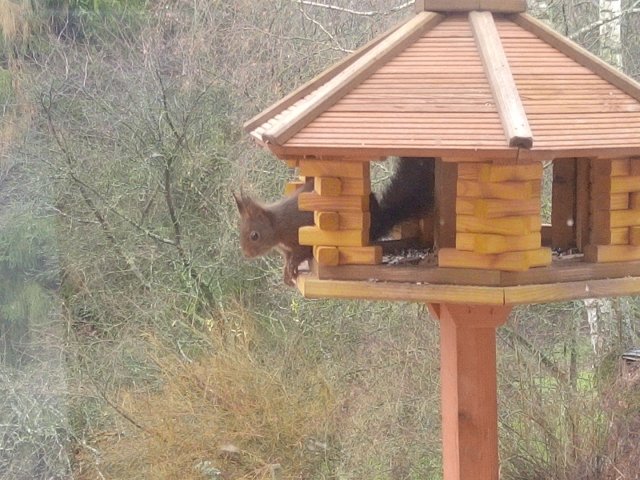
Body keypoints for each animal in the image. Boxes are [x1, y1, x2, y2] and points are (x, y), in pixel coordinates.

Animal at [234, 157, 434, 286]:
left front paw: (291, 267)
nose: (246, 254)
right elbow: (289, 257)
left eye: (254, 235)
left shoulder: (297, 231)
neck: (277, 226)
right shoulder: (286, 249)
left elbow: (301, 253)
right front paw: (286, 271)